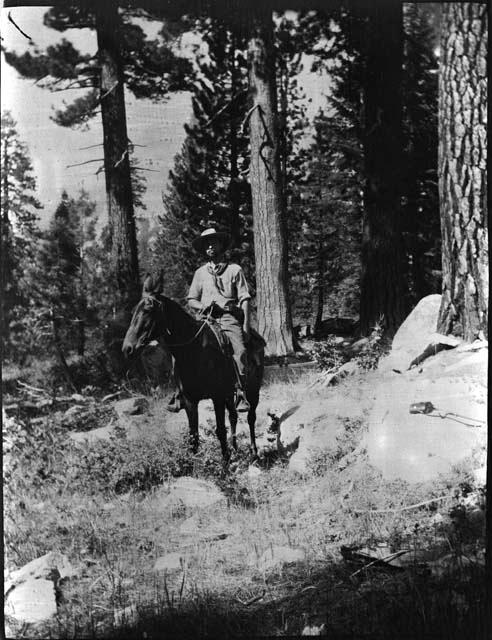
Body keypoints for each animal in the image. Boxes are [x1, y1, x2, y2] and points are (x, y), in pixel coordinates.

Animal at [121, 276, 266, 460]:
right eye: (134, 311)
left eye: (148, 310)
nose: (127, 348)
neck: (194, 350)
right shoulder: (190, 400)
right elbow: (193, 437)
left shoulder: (217, 397)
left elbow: (220, 431)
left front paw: (225, 465)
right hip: (230, 393)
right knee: (233, 416)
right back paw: (235, 449)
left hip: (253, 389)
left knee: (250, 417)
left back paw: (254, 452)